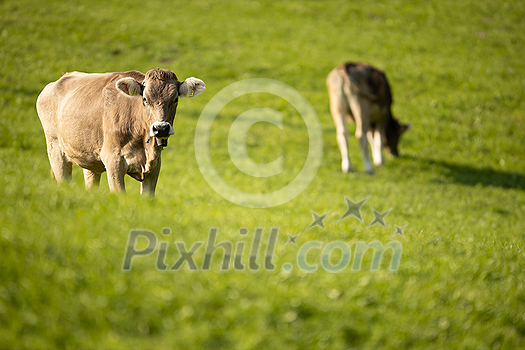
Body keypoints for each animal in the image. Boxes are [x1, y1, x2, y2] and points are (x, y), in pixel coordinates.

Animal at [36, 68, 205, 194]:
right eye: (145, 99)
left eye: (175, 99)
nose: (161, 128)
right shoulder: (113, 160)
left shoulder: (155, 165)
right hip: (55, 149)